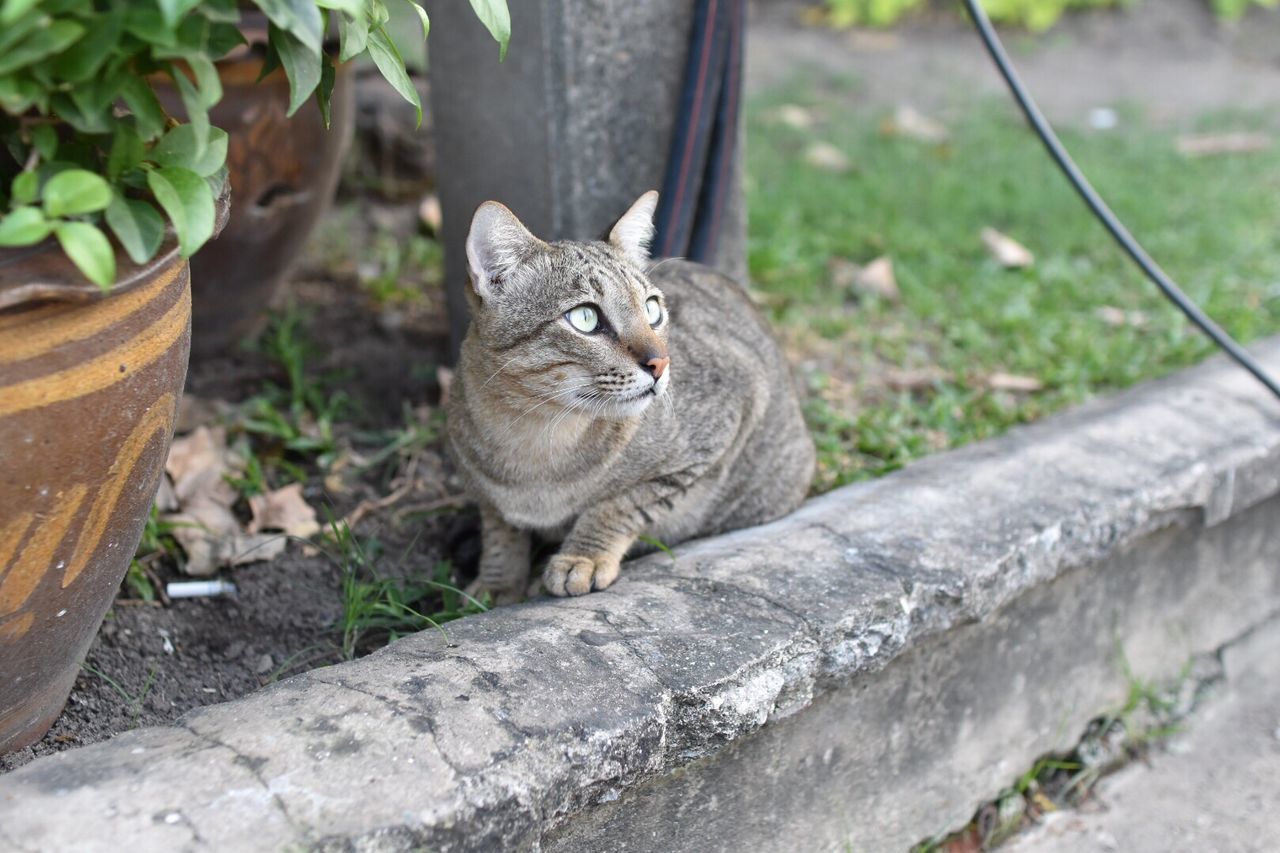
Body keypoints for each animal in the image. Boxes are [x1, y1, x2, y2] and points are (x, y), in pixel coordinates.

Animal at [445, 189, 814, 601]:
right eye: (585, 318)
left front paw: (583, 557)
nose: (662, 363)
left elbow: (620, 505)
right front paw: (498, 583)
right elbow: (500, 531)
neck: (534, 436)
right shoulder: (484, 493)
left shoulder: (732, 414)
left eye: (652, 309)